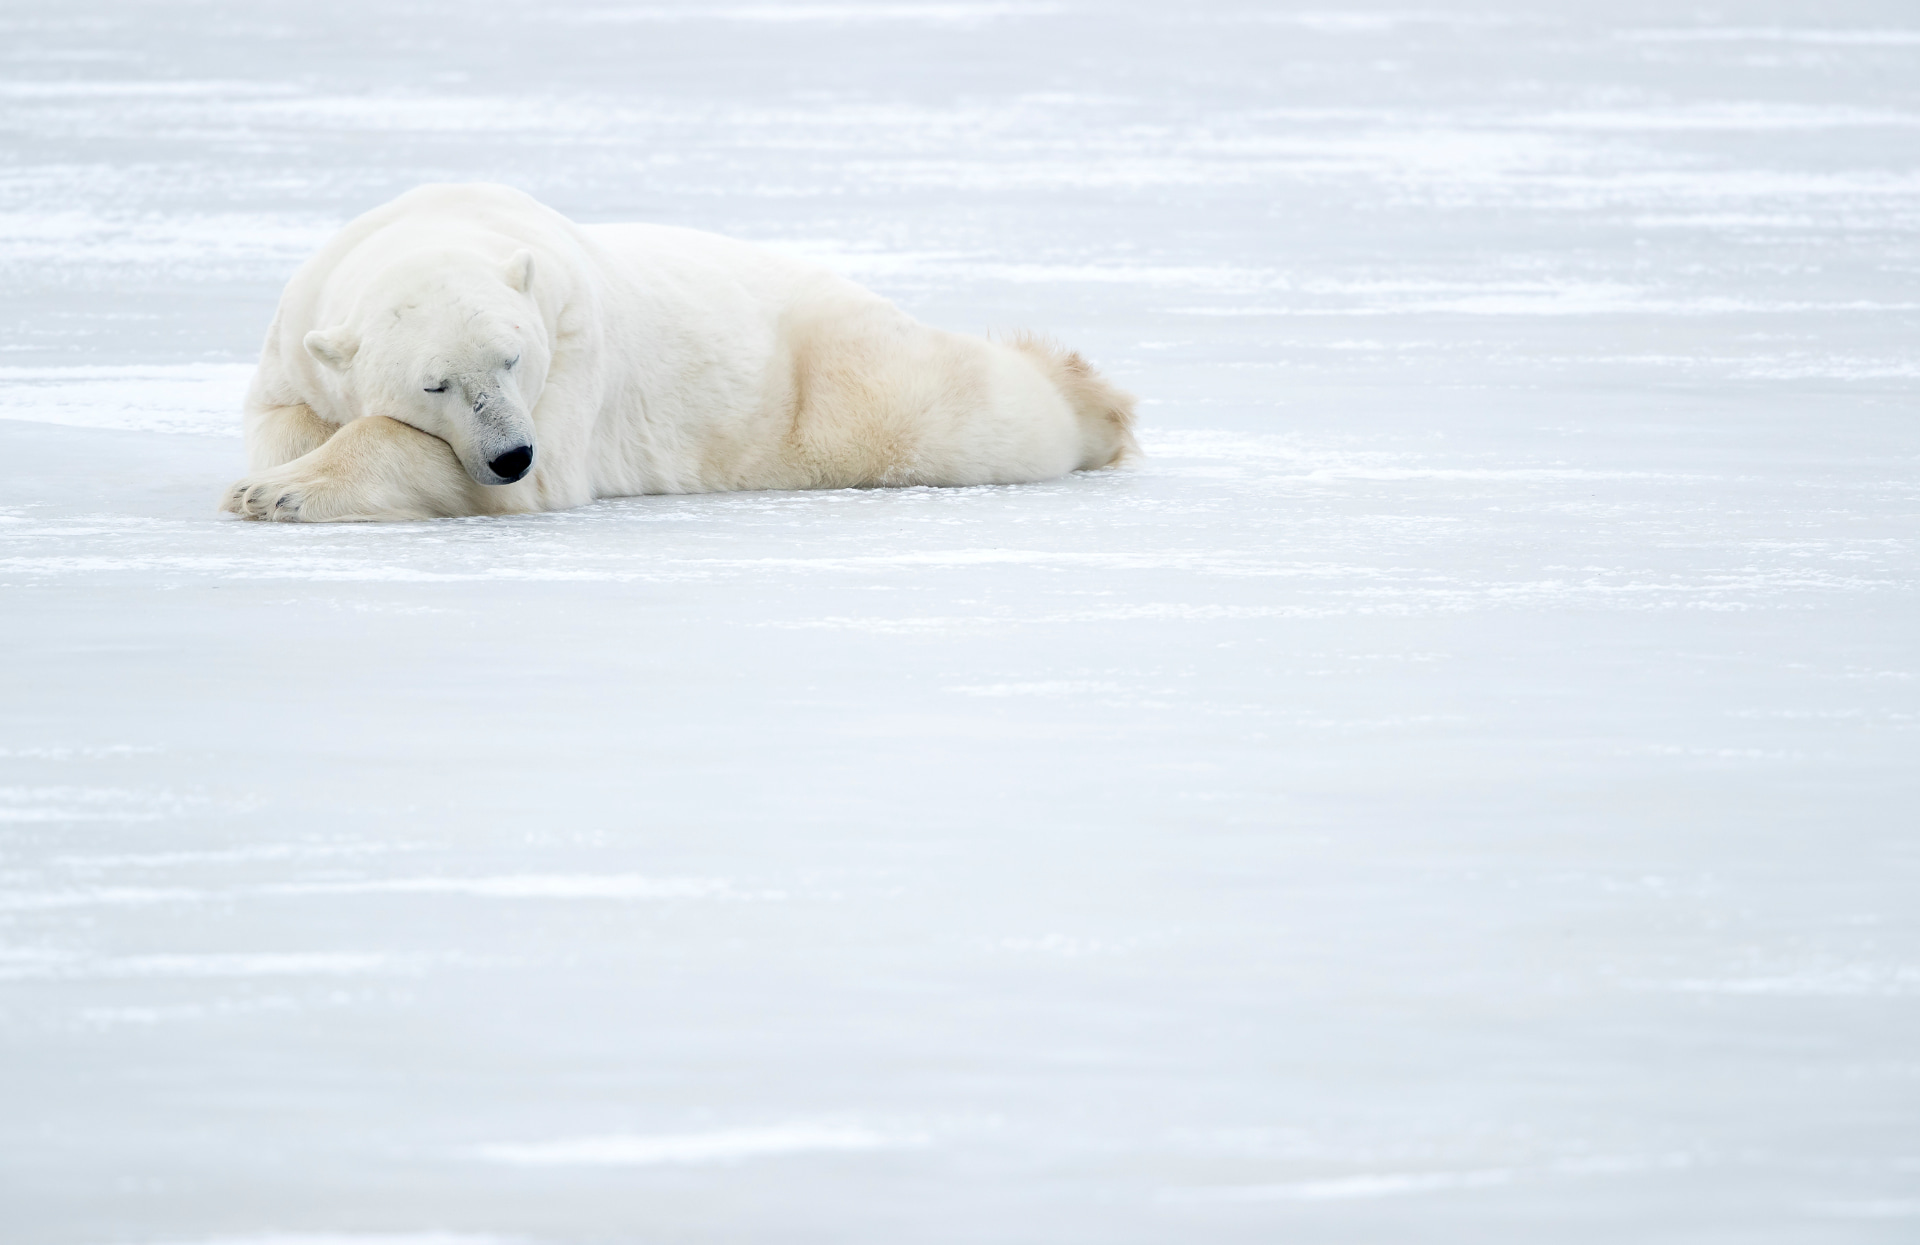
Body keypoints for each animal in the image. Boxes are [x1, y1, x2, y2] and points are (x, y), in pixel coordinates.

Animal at [220, 184, 1137, 522]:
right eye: (436, 383)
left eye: (512, 359)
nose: (512, 453)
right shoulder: (294, 336)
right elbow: (280, 417)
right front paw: (269, 474)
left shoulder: (572, 349)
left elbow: (525, 478)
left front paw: (280, 492)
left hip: (828, 382)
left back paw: (1090, 402)